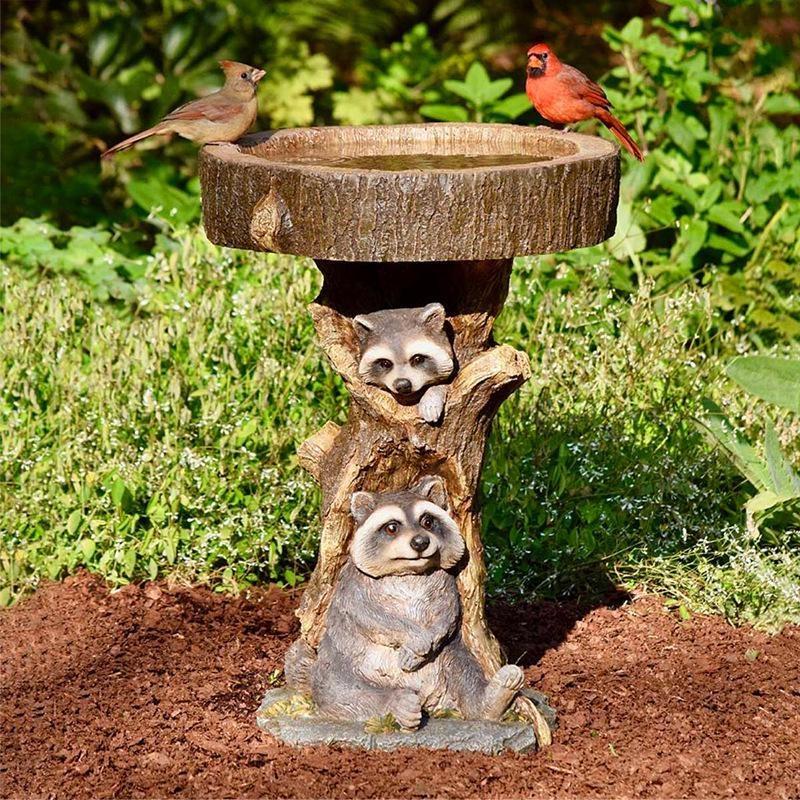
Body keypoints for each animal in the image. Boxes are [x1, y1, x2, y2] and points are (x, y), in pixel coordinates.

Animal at [285, 476, 524, 729]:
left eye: (427, 521)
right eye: (392, 527)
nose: (420, 542)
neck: (408, 571)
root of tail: (429, 699)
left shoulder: (444, 580)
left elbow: (448, 612)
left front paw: (428, 638)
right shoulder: (354, 583)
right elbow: (370, 615)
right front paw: (415, 639)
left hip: (451, 656)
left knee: (464, 670)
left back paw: (492, 698)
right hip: (337, 665)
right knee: (340, 691)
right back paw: (397, 703)